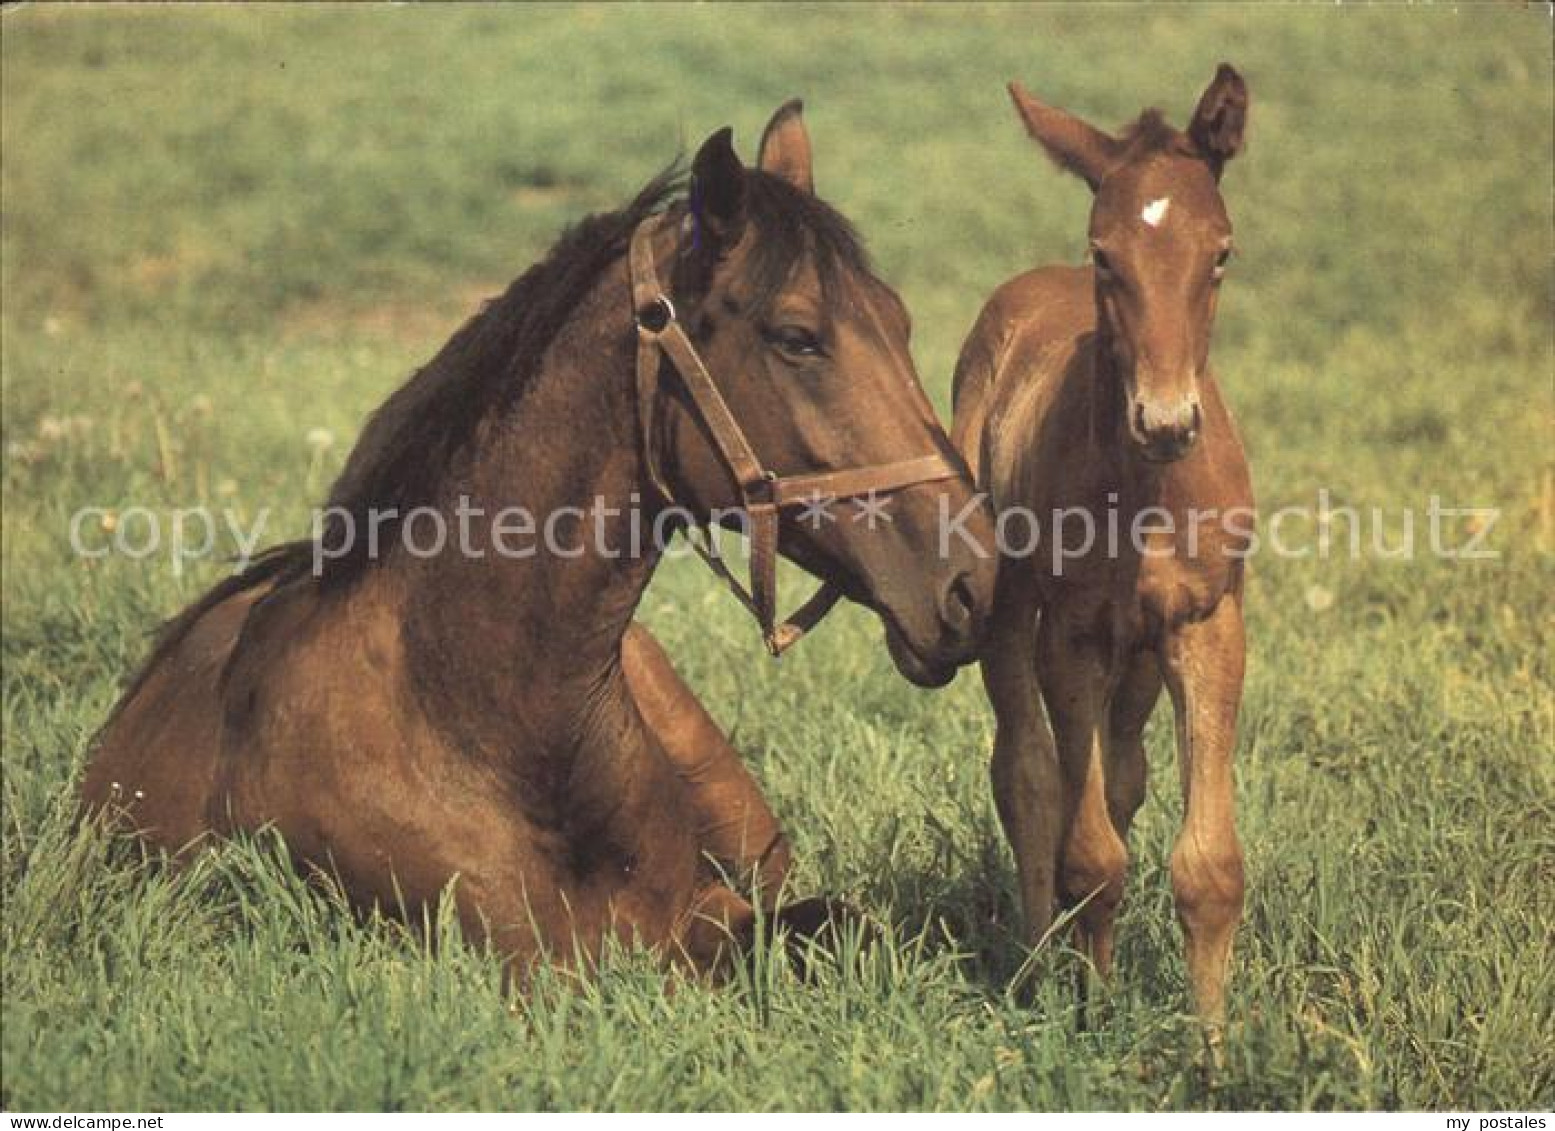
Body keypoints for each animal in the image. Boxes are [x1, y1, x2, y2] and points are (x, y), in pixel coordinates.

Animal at [951, 70, 1256, 1026]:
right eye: (1103, 255)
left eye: (1220, 253)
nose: (1164, 420)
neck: (1146, 496)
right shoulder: (1074, 632)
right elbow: (1085, 850)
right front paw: (1088, 1012)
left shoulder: (1206, 622)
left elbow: (1207, 865)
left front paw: (1211, 1045)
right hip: (1006, 605)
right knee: (1026, 772)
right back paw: (1034, 963)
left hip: (1145, 649)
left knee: (1121, 772)